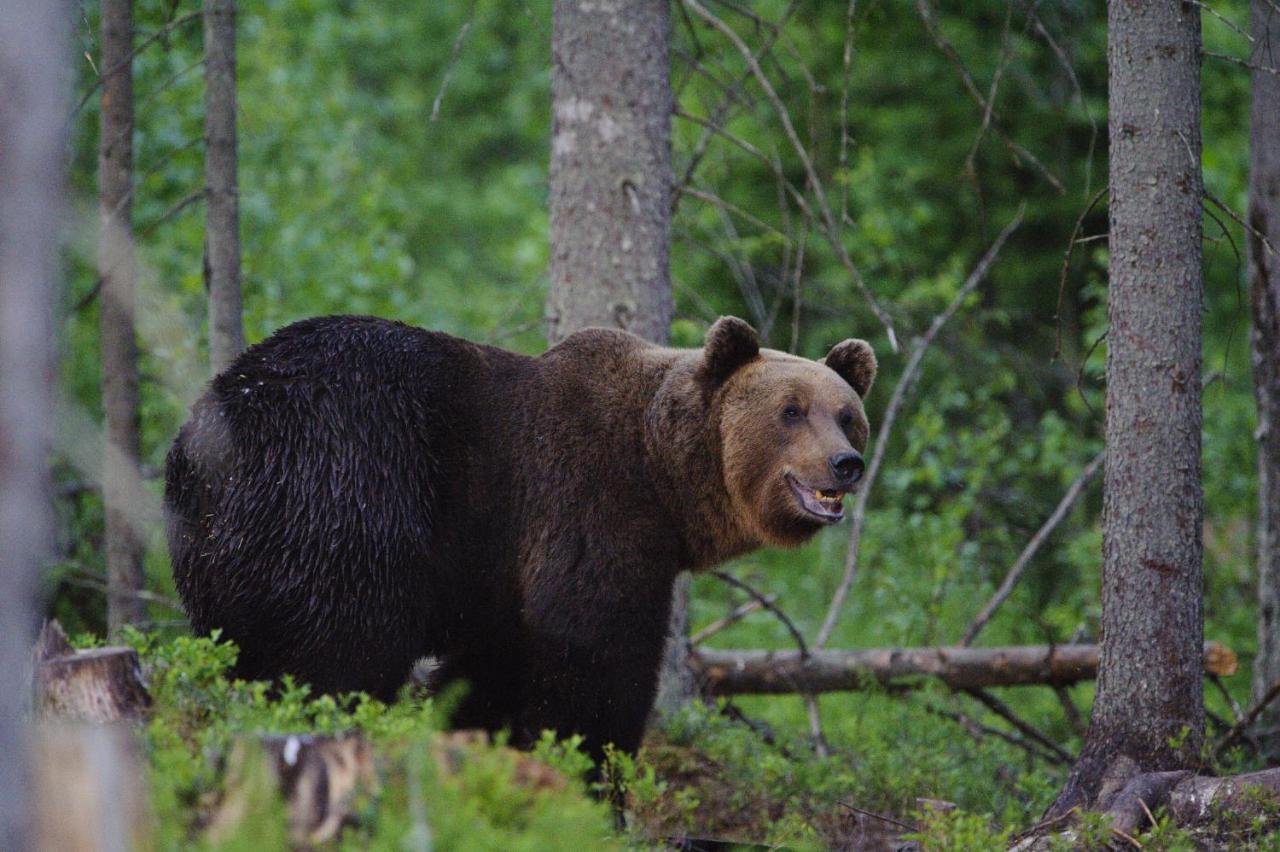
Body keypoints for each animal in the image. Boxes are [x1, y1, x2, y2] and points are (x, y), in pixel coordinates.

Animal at [165, 313, 870, 757]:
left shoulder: (500, 575)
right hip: (350, 497)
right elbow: (594, 658)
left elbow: (495, 668)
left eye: (846, 413)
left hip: (230, 552)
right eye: (790, 410)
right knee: (338, 656)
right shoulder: (586, 509)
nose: (846, 463)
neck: (659, 470)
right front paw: (591, 770)